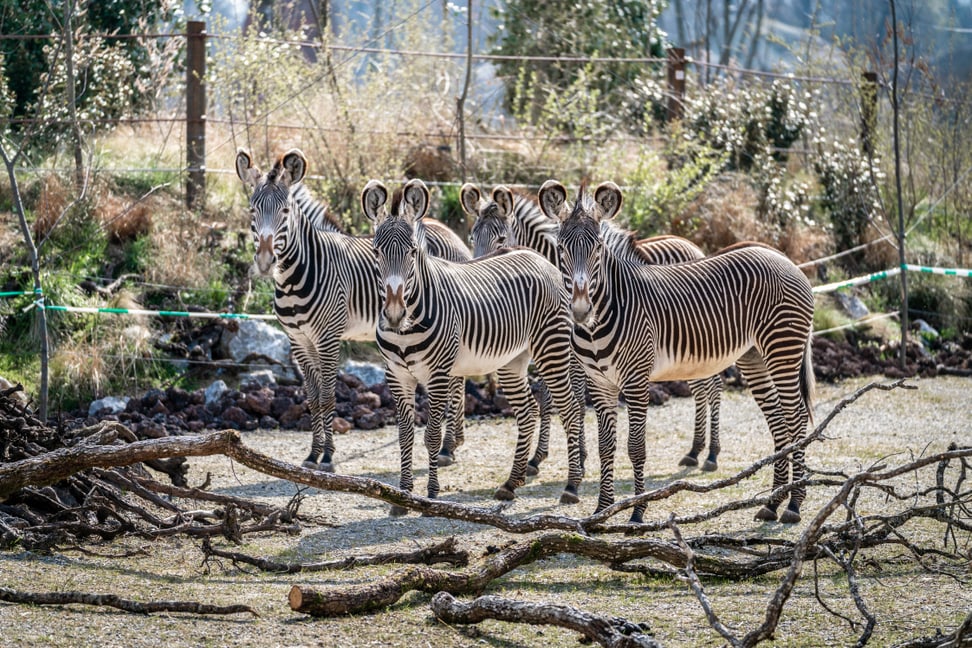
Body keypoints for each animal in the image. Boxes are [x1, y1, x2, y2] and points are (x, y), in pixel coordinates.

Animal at [235, 149, 470, 474]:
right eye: (252, 211)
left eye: (284, 211)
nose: (265, 262)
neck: (300, 273)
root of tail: (450, 232)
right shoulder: (298, 341)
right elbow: (312, 398)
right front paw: (312, 455)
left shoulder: (328, 338)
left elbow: (327, 397)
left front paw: (327, 457)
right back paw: (454, 441)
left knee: (456, 381)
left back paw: (448, 446)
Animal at [360, 180, 580, 512]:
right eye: (376, 251)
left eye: (413, 252)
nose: (395, 314)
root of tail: (540, 258)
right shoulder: (396, 376)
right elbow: (405, 435)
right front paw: (402, 496)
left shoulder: (438, 374)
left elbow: (432, 436)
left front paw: (431, 494)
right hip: (511, 361)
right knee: (528, 410)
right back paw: (510, 484)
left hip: (550, 348)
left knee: (569, 409)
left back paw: (571, 486)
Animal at [462, 185, 720, 474]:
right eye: (472, 238)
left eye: (501, 238)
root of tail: (692, 246)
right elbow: (554, 396)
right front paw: (550, 456)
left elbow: (564, 398)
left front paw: (568, 458)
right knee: (702, 387)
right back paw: (696, 450)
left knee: (712, 387)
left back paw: (710, 453)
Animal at [540, 180, 812, 524]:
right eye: (561, 249)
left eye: (598, 249)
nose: (579, 310)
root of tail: (782, 257)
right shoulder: (600, 383)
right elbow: (606, 446)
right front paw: (602, 510)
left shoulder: (636, 380)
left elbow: (636, 447)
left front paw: (637, 511)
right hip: (754, 356)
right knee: (777, 418)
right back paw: (774, 501)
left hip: (782, 348)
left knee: (796, 417)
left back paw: (794, 504)